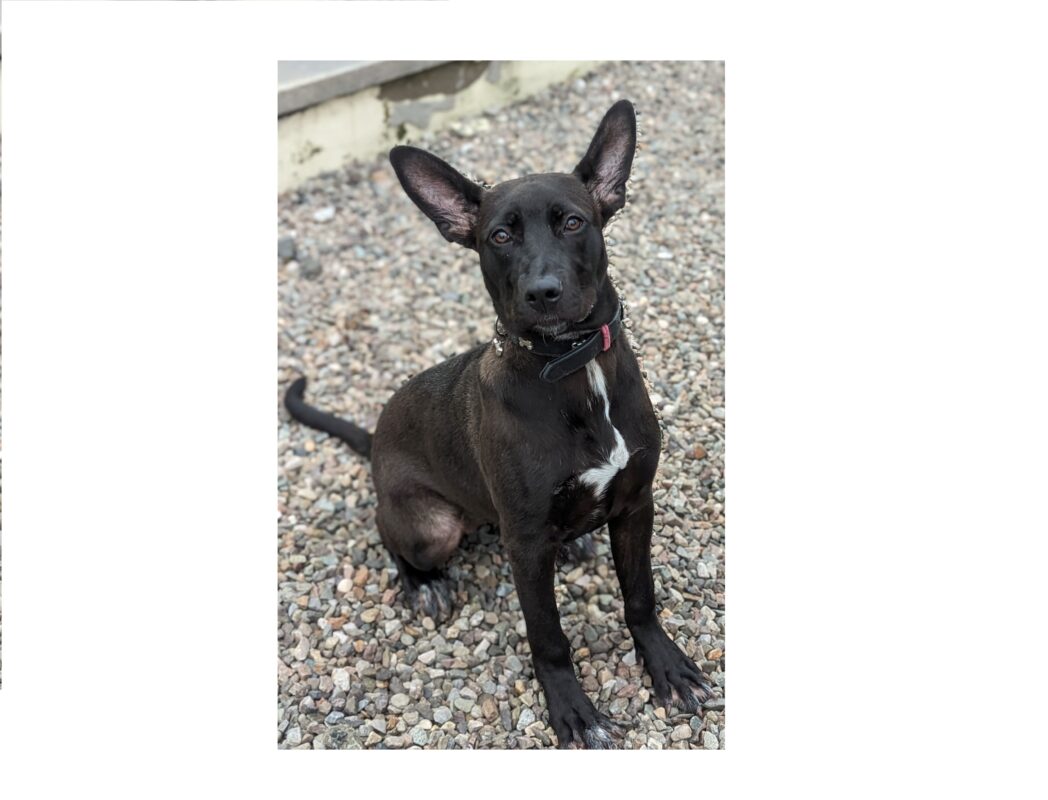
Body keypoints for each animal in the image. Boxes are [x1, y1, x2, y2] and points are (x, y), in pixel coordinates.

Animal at [285, 100, 711, 748]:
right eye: (500, 236)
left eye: (573, 223)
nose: (543, 293)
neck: (571, 369)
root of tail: (377, 438)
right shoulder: (527, 546)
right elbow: (549, 638)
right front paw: (572, 709)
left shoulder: (637, 504)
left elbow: (640, 597)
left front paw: (664, 665)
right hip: (432, 525)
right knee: (392, 536)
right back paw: (424, 584)